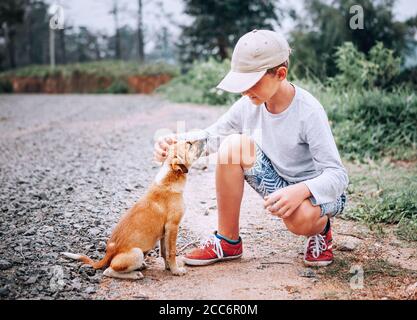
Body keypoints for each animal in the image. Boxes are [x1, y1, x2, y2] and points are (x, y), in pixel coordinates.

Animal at [61, 139, 205, 278]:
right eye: (189, 143)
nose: (206, 137)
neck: (169, 179)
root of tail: (108, 253)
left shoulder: (165, 232)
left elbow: (164, 252)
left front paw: (169, 268)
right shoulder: (173, 226)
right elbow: (172, 252)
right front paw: (176, 270)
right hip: (137, 253)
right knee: (108, 271)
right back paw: (135, 274)